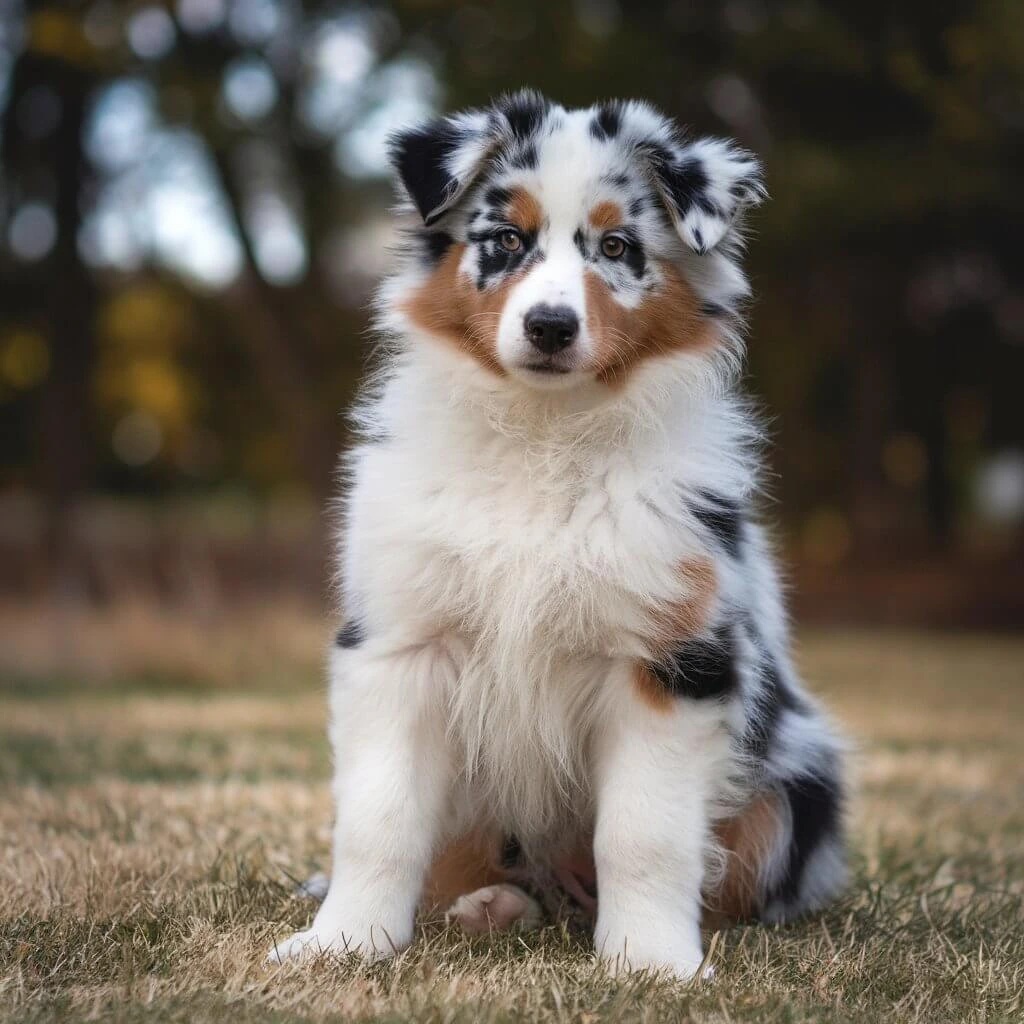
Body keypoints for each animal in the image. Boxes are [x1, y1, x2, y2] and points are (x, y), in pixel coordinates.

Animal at [268, 92, 843, 978]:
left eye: (617, 247)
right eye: (506, 240)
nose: (548, 326)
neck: (544, 432)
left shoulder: (672, 659)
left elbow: (645, 834)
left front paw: (652, 962)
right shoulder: (400, 643)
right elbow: (378, 818)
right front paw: (344, 943)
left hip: (799, 781)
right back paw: (492, 904)